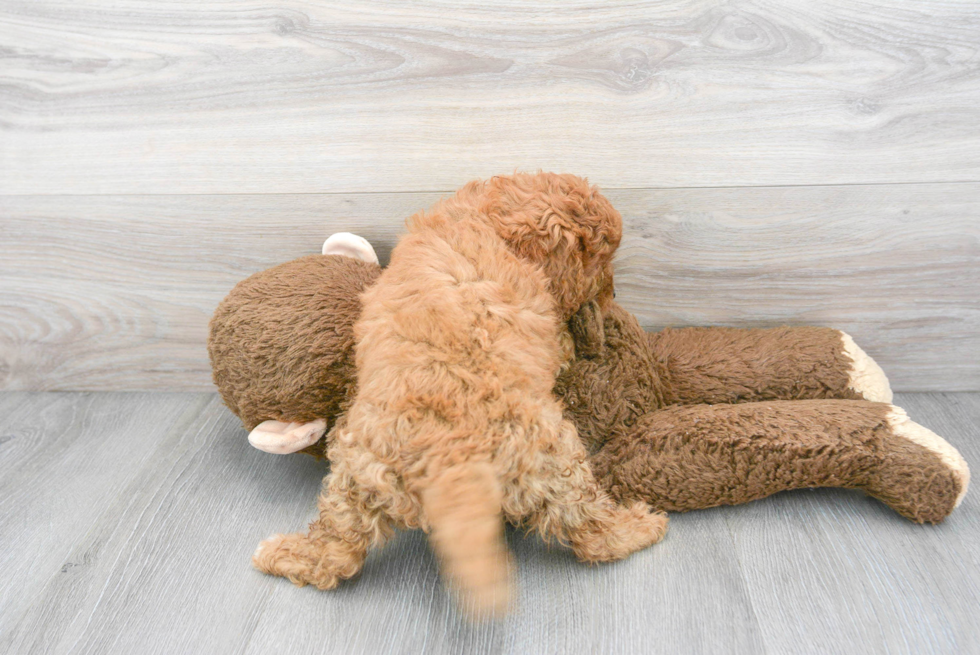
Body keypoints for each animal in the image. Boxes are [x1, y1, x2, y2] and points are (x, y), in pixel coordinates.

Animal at [253, 172, 668, 616]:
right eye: (600, 258)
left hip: (357, 473)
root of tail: (449, 452)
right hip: (555, 459)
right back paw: (641, 525)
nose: (613, 295)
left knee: (336, 547)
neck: (487, 215)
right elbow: (562, 346)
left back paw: (285, 554)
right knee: (590, 530)